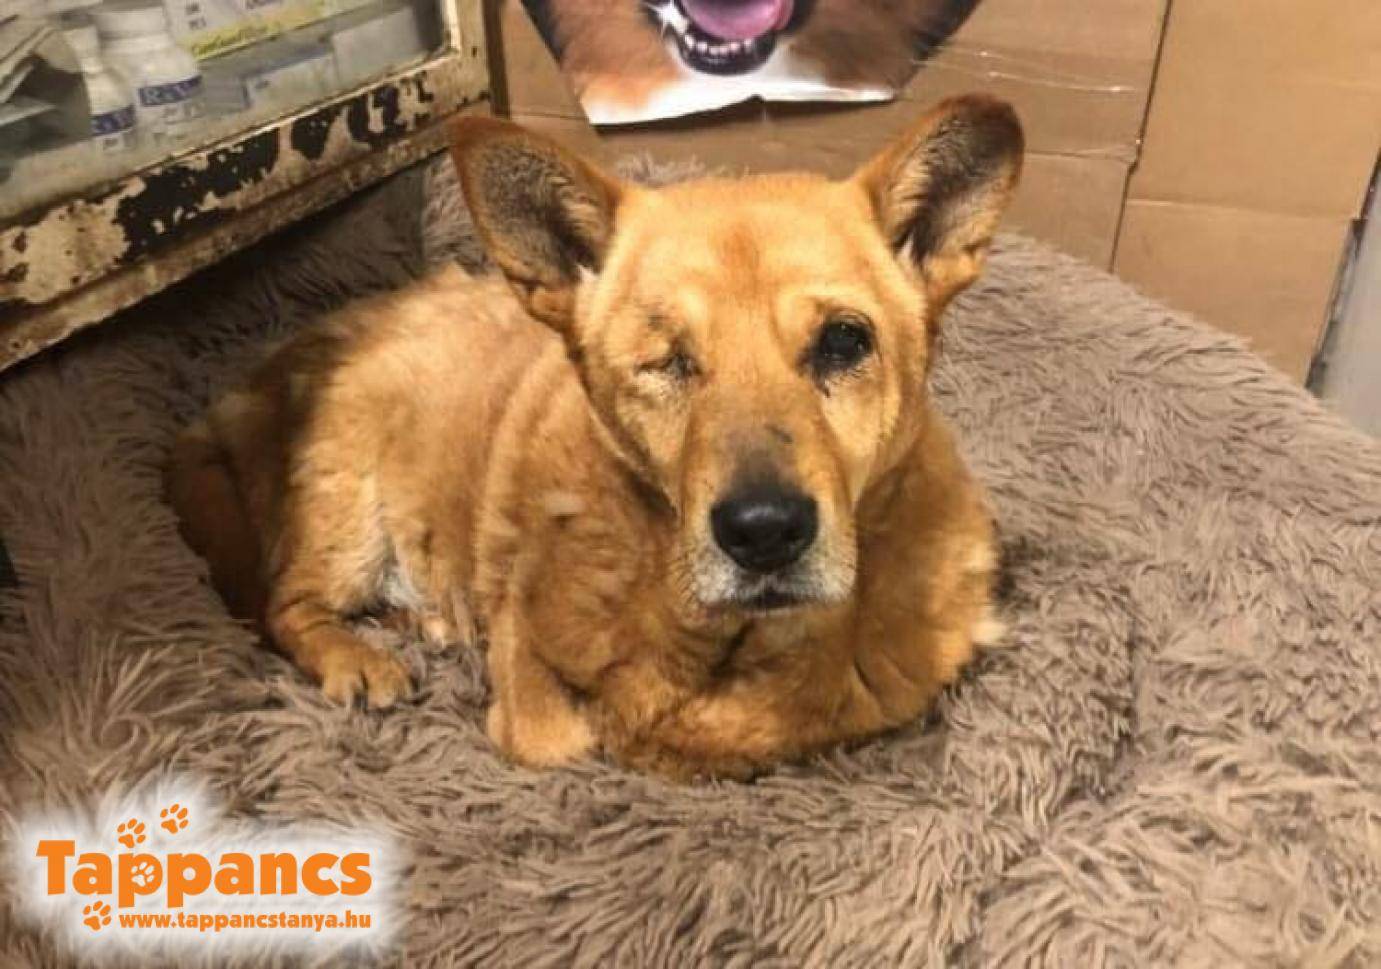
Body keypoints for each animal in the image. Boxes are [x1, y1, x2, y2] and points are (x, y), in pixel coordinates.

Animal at [166, 94, 1022, 780]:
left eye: (844, 341)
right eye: (666, 359)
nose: (764, 532)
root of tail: (252, 381)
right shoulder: (525, 659)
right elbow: (562, 738)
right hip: (346, 519)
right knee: (282, 603)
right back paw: (358, 654)